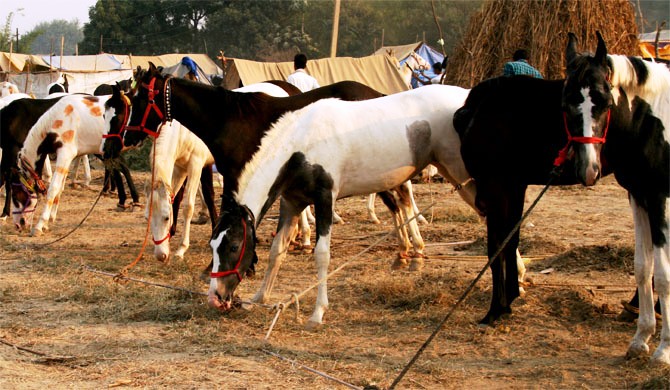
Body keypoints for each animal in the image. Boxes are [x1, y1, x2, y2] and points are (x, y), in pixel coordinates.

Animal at [12, 94, 112, 235]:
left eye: (15, 194)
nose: (17, 225)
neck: (58, 120)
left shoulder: (65, 154)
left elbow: (53, 189)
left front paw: (39, 226)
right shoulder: (67, 159)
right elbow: (59, 188)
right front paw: (47, 223)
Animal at [456, 32, 670, 366]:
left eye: (604, 102)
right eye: (565, 105)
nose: (587, 168)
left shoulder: (497, 185)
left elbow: (496, 246)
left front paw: (496, 309)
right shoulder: (514, 185)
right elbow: (511, 241)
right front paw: (510, 299)